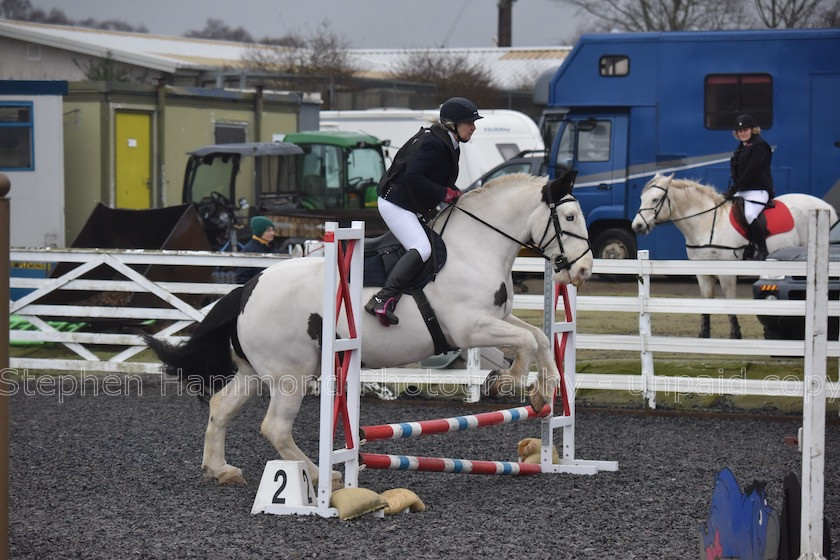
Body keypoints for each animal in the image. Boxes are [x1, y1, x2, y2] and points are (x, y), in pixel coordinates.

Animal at [144, 172, 592, 486]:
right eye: (570, 216)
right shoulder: (470, 329)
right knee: (275, 427)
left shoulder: (494, 321)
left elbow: (538, 338)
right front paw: (510, 383)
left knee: (222, 407)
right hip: (291, 374)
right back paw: (321, 475)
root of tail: (246, 291)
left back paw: (221, 470)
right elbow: (526, 342)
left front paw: (541, 393)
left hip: (256, 371)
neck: (475, 247)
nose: (585, 271)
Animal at [632, 173, 832, 336]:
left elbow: (729, 301)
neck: (706, 224)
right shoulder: (702, 273)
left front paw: (736, 334)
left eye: (655, 199)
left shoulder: (726, 272)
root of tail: (826, 206)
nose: (637, 226)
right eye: (641, 198)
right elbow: (706, 301)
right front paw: (704, 335)